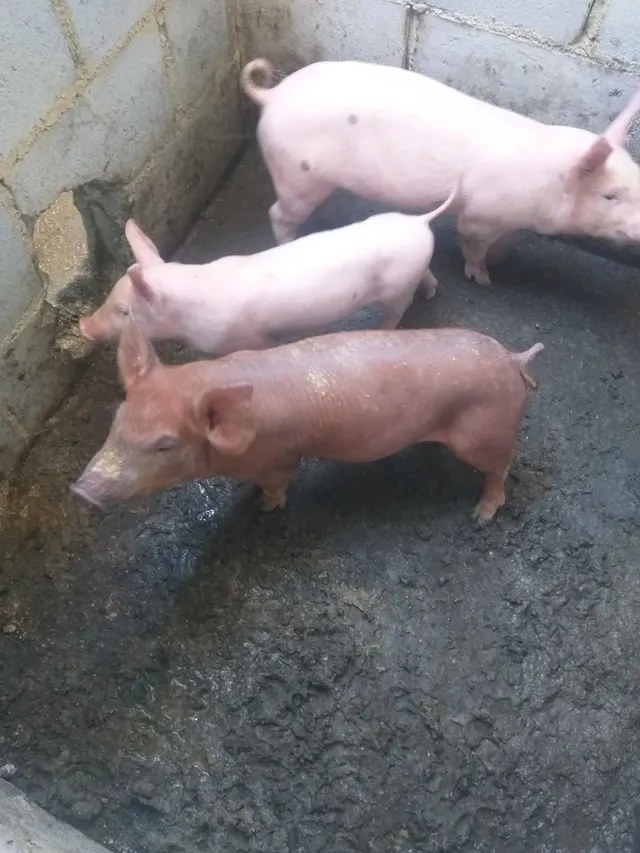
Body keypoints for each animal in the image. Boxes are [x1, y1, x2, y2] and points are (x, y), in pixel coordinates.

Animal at [71, 321, 544, 523]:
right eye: (119, 417)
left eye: (165, 445)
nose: (83, 490)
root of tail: (513, 360)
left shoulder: (277, 458)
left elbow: (278, 484)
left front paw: (263, 508)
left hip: (484, 431)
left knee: (500, 469)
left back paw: (481, 516)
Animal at [78, 189, 457, 351]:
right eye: (111, 294)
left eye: (124, 311)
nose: (83, 326)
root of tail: (419, 222)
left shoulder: (244, 339)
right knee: (428, 277)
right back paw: (430, 292)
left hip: (395, 289)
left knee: (396, 312)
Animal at [241, 57, 640, 286]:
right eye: (610, 195)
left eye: (637, 180)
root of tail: (272, 95)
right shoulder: (480, 215)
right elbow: (473, 244)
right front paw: (484, 279)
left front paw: (503, 257)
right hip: (296, 173)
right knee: (278, 213)